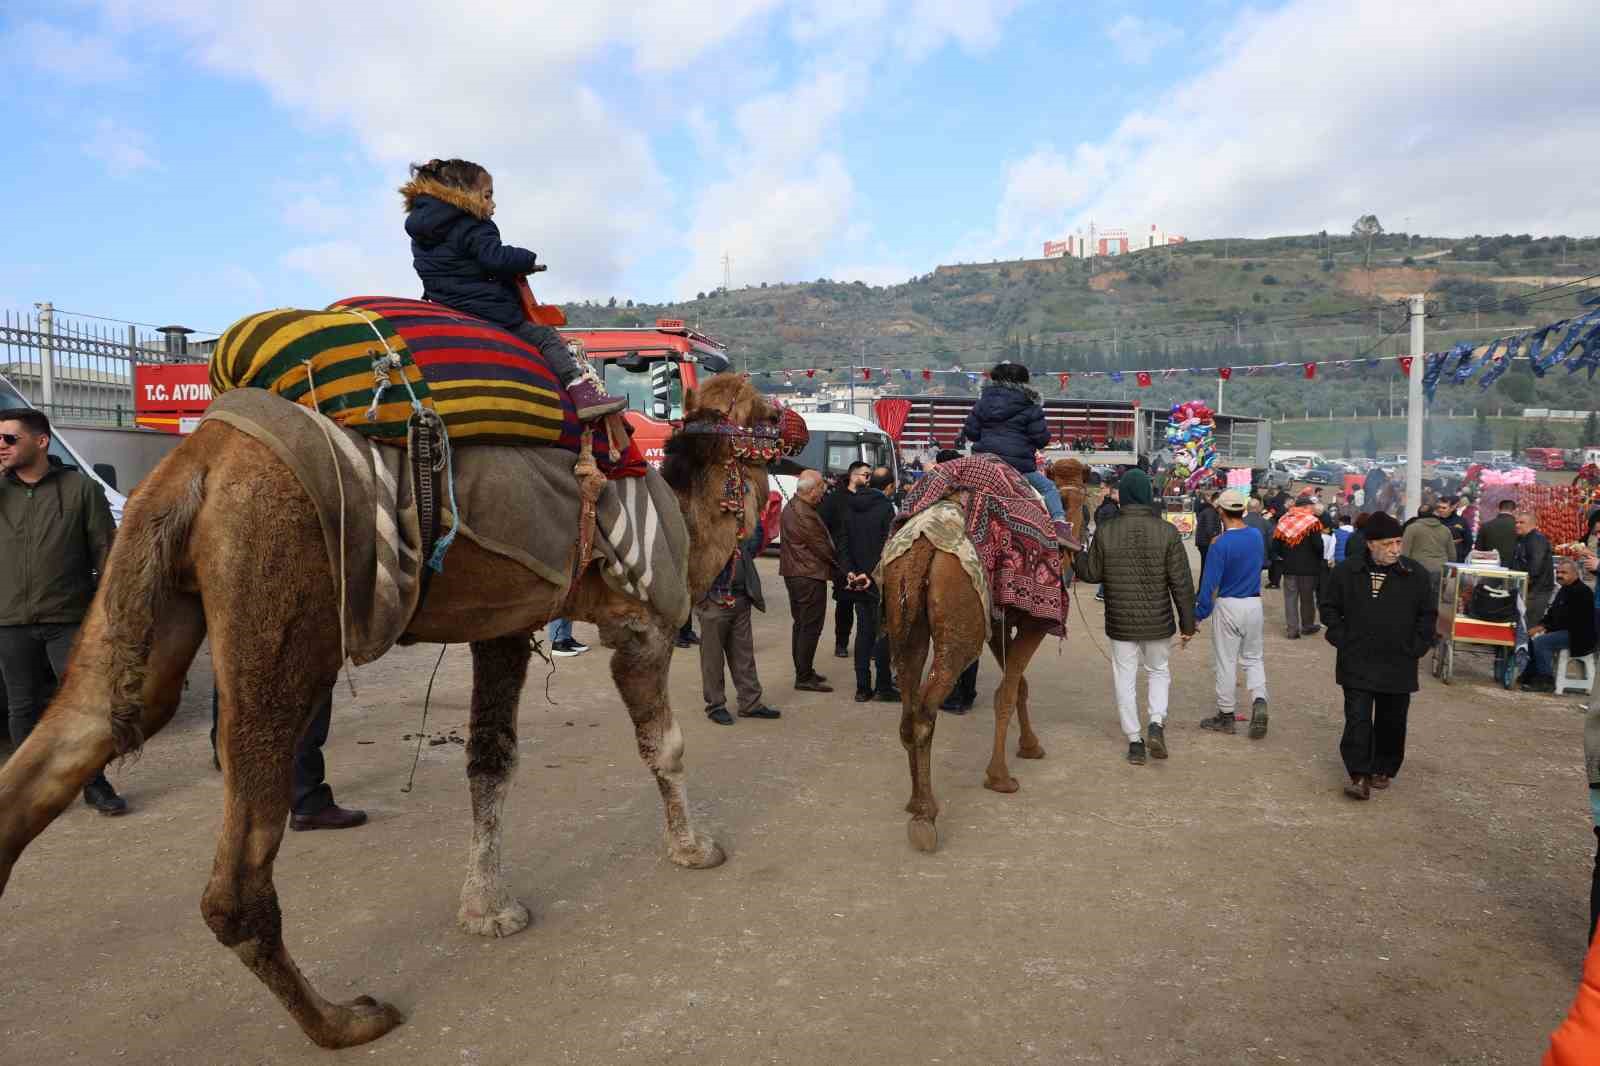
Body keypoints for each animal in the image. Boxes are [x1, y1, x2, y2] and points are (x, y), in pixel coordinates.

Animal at [0, 369, 780, 1043]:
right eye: (771, 416)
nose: (796, 432)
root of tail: (198, 461)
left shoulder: (504, 626)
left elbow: (490, 761)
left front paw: (487, 910)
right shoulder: (640, 622)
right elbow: (664, 745)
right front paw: (695, 849)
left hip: (146, 593)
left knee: (77, 734)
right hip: (279, 601)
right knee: (236, 883)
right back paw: (346, 1021)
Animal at [876, 451, 1088, 851]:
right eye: (1085, 500)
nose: (1077, 543)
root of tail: (926, 542)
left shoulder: (997, 621)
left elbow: (1019, 685)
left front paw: (1030, 746)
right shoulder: (1035, 619)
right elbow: (1007, 690)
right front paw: (1000, 777)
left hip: (904, 613)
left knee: (909, 702)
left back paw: (914, 800)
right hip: (962, 626)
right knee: (926, 709)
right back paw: (925, 817)